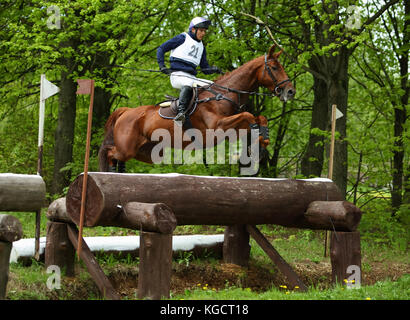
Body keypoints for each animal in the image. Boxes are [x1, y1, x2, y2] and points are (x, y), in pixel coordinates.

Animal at [99, 45, 298, 172]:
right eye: (274, 67)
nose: (290, 91)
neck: (222, 95)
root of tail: (126, 111)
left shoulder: (231, 127)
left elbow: (258, 118)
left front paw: (262, 142)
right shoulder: (217, 127)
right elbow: (249, 115)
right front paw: (258, 141)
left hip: (146, 151)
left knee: (118, 157)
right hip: (128, 147)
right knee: (109, 152)